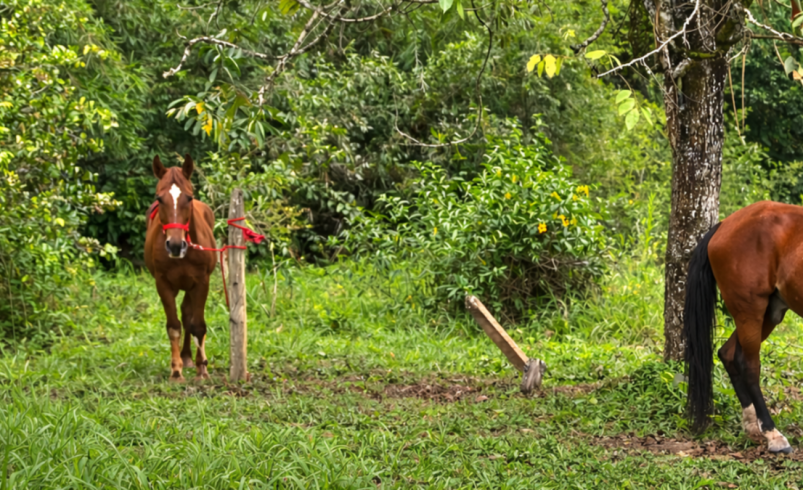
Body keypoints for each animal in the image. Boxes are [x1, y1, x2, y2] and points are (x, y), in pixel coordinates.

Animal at [145, 154, 217, 382]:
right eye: (159, 199)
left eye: (189, 198)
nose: (175, 245)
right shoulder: (163, 284)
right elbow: (174, 326)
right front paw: (176, 370)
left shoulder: (201, 282)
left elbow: (198, 325)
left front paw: (202, 368)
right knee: (184, 316)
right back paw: (184, 358)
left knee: (189, 316)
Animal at [684, 200, 803, 454]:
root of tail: (723, 225)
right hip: (751, 309)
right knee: (749, 367)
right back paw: (772, 434)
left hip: (767, 314)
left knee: (727, 354)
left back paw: (751, 424)